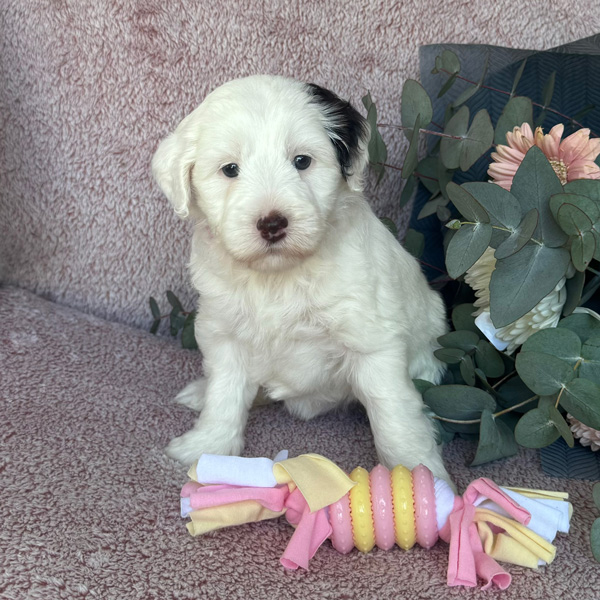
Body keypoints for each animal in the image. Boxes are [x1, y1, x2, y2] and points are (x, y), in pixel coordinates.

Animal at [152, 75, 451, 482]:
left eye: (302, 161)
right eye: (230, 169)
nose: (272, 224)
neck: (278, 276)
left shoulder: (372, 341)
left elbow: (393, 413)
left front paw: (422, 474)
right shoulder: (223, 331)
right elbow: (226, 391)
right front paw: (207, 446)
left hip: (427, 350)